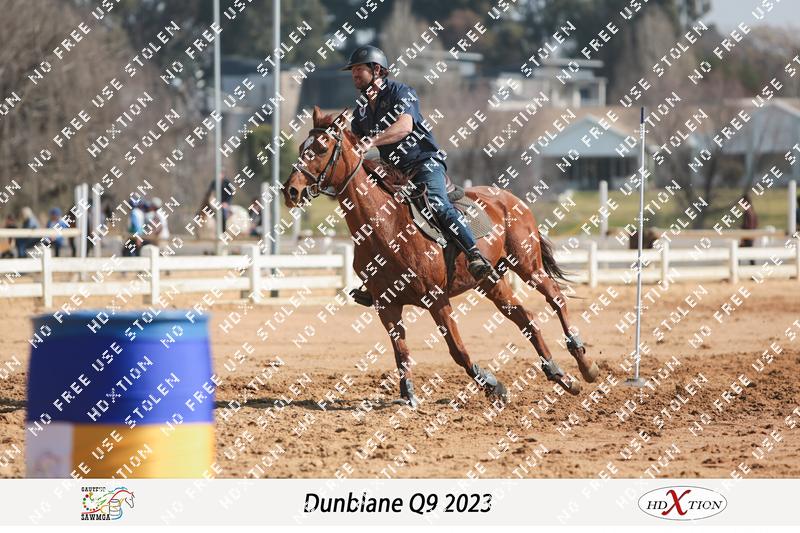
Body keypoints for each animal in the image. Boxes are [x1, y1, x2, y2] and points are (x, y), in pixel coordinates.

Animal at [282, 106, 599, 407]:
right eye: (301, 147)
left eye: (322, 148)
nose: (291, 191)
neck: (387, 228)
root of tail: (511, 199)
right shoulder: (387, 305)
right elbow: (401, 353)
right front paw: (408, 395)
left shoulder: (437, 299)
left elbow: (457, 350)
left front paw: (493, 385)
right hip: (491, 280)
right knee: (526, 317)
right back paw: (559, 374)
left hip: (528, 266)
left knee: (556, 298)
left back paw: (584, 364)